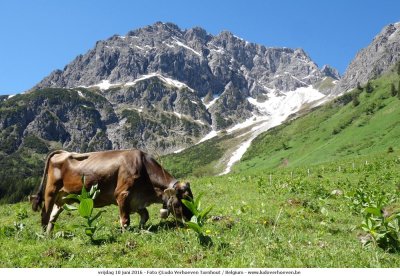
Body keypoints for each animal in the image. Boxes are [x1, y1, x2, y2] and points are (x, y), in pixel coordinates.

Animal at [31, 149, 194, 233]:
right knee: (45, 214)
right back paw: (43, 236)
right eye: (183, 200)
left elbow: (145, 215)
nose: (192, 219)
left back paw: (50, 234)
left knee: (53, 216)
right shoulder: (123, 195)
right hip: (51, 191)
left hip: (63, 197)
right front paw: (126, 234)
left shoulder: (136, 201)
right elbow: (125, 220)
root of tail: (63, 152)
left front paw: (142, 228)